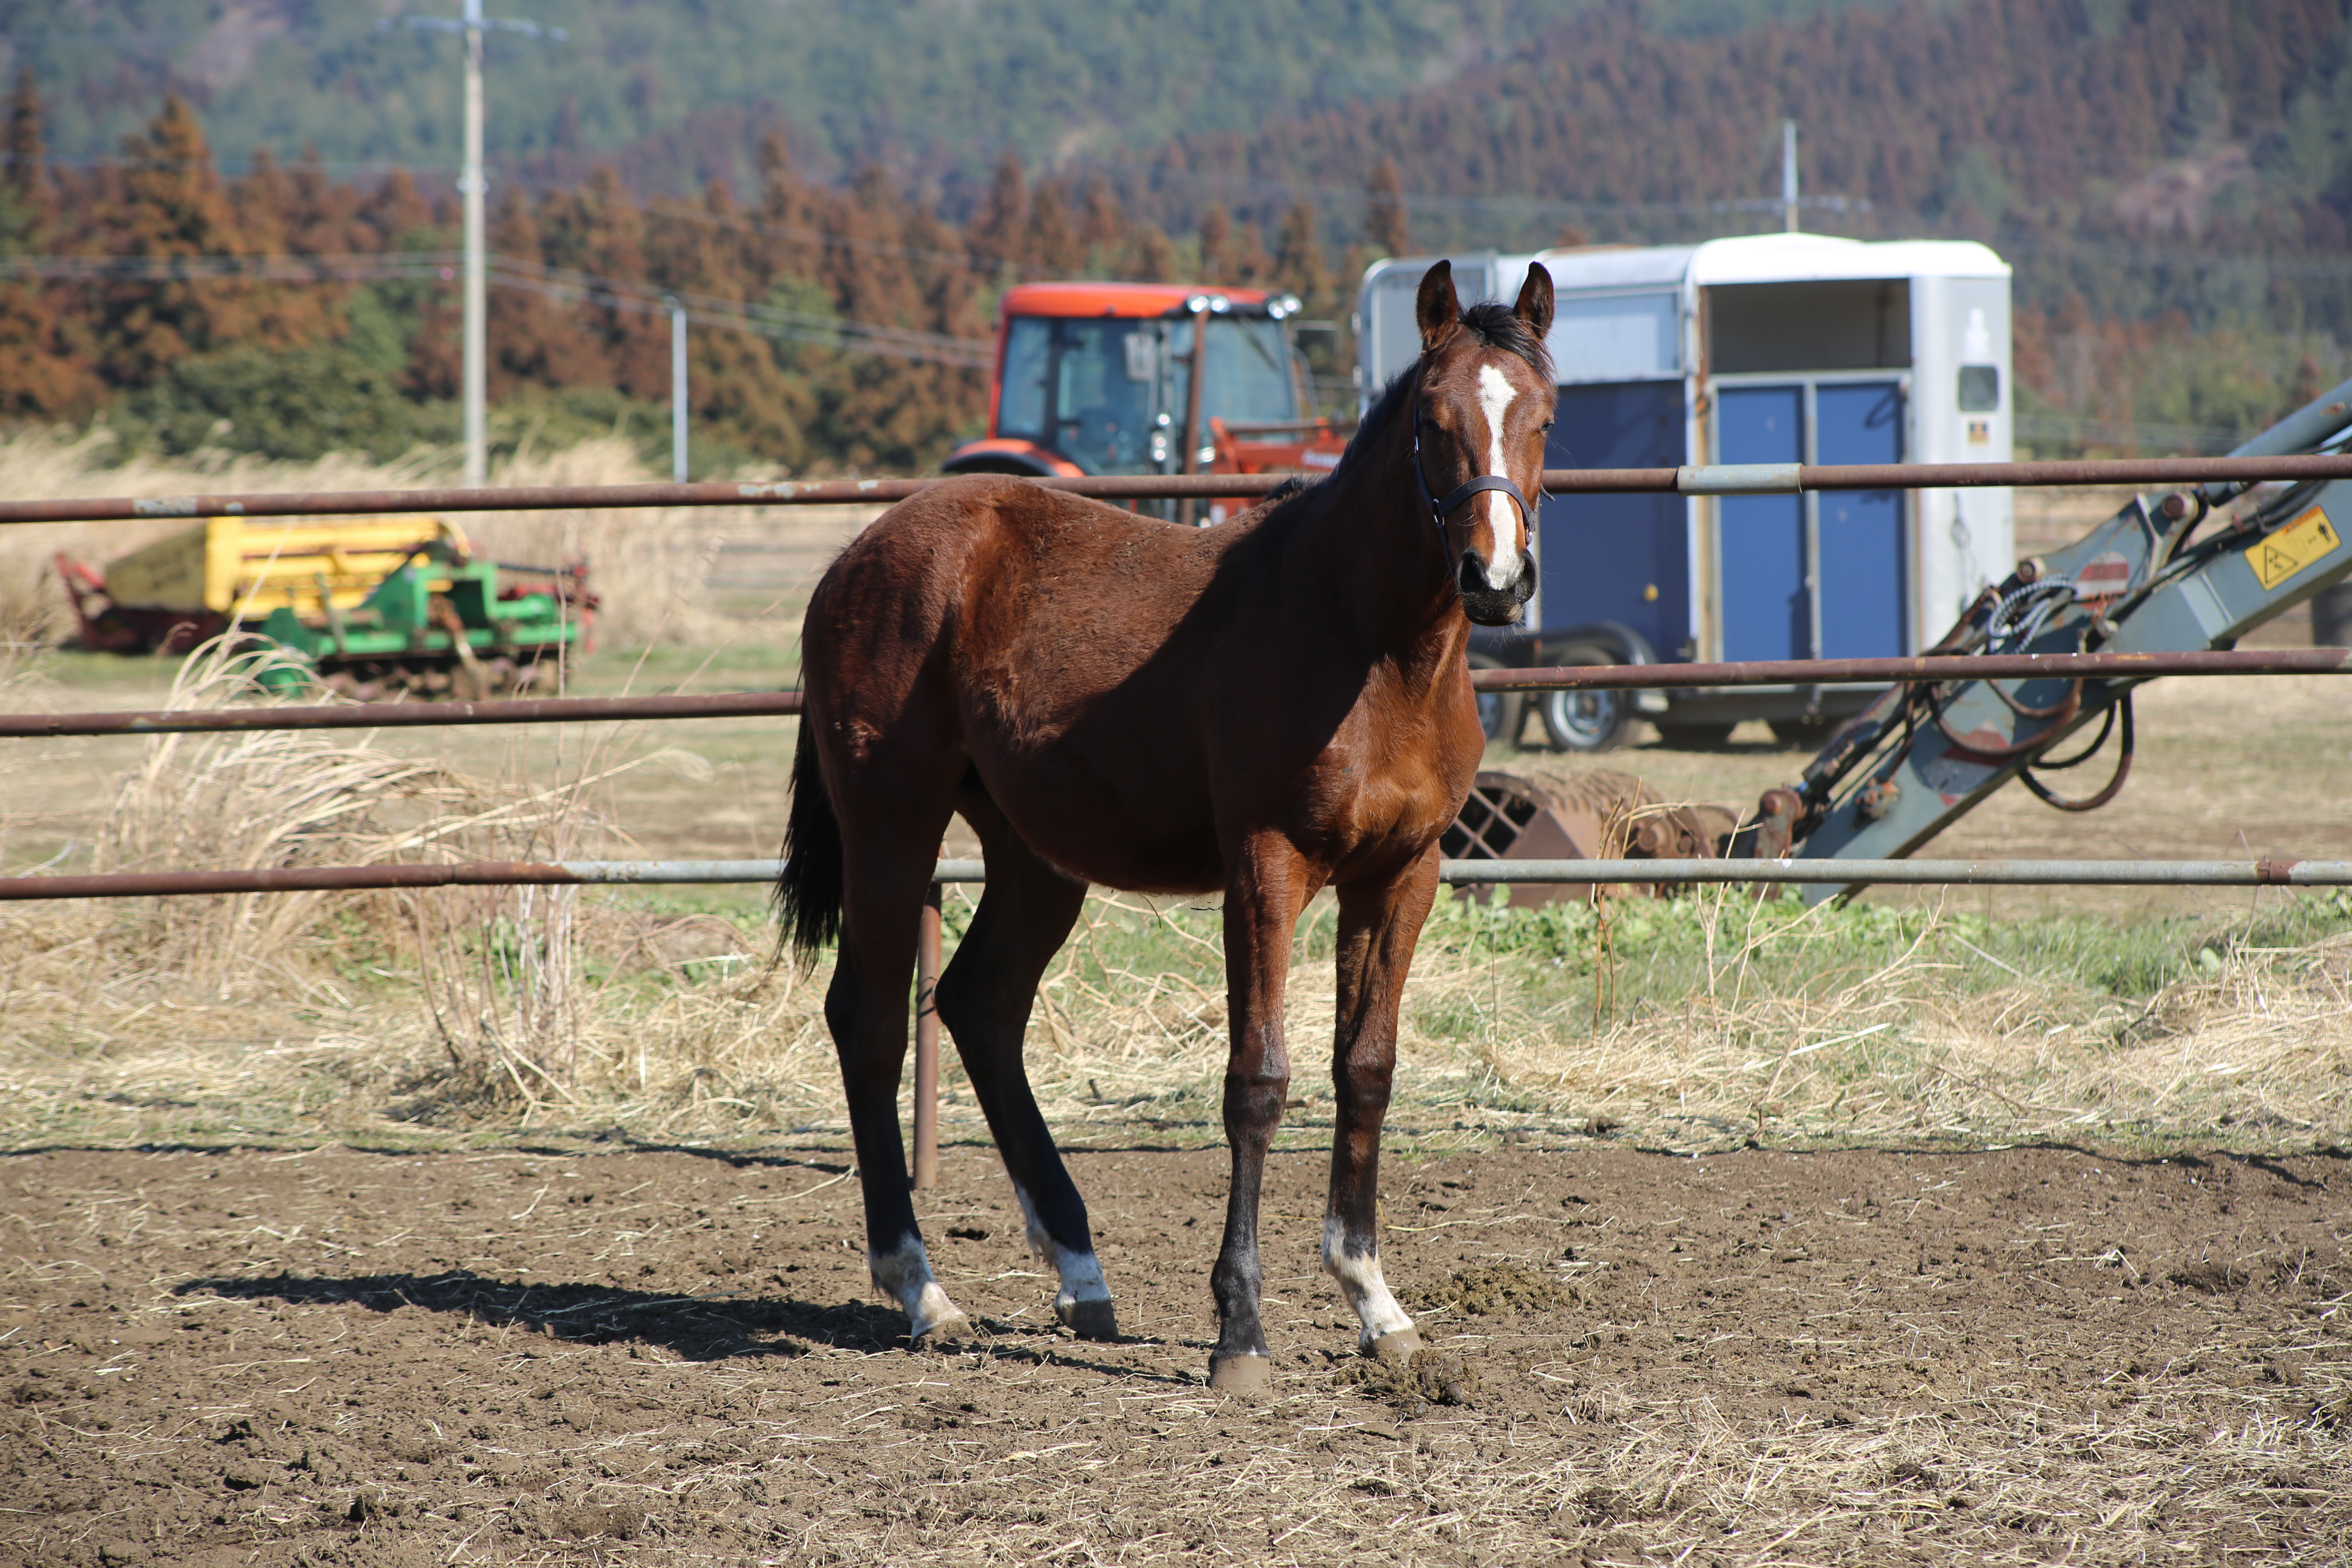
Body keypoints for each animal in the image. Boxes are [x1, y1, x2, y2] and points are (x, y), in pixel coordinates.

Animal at [781, 263, 1552, 1392]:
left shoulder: (1403, 873)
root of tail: (858, 553)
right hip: (893, 822)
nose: (1494, 580)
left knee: (980, 1007)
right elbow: (1258, 1080)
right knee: (871, 1020)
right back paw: (923, 1290)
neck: (1368, 645)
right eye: (1430, 418)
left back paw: (1078, 1272)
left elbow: (1365, 1070)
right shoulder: (1265, 866)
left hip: (1035, 858)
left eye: (1543, 417)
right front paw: (1240, 1332)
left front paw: (1375, 1302)